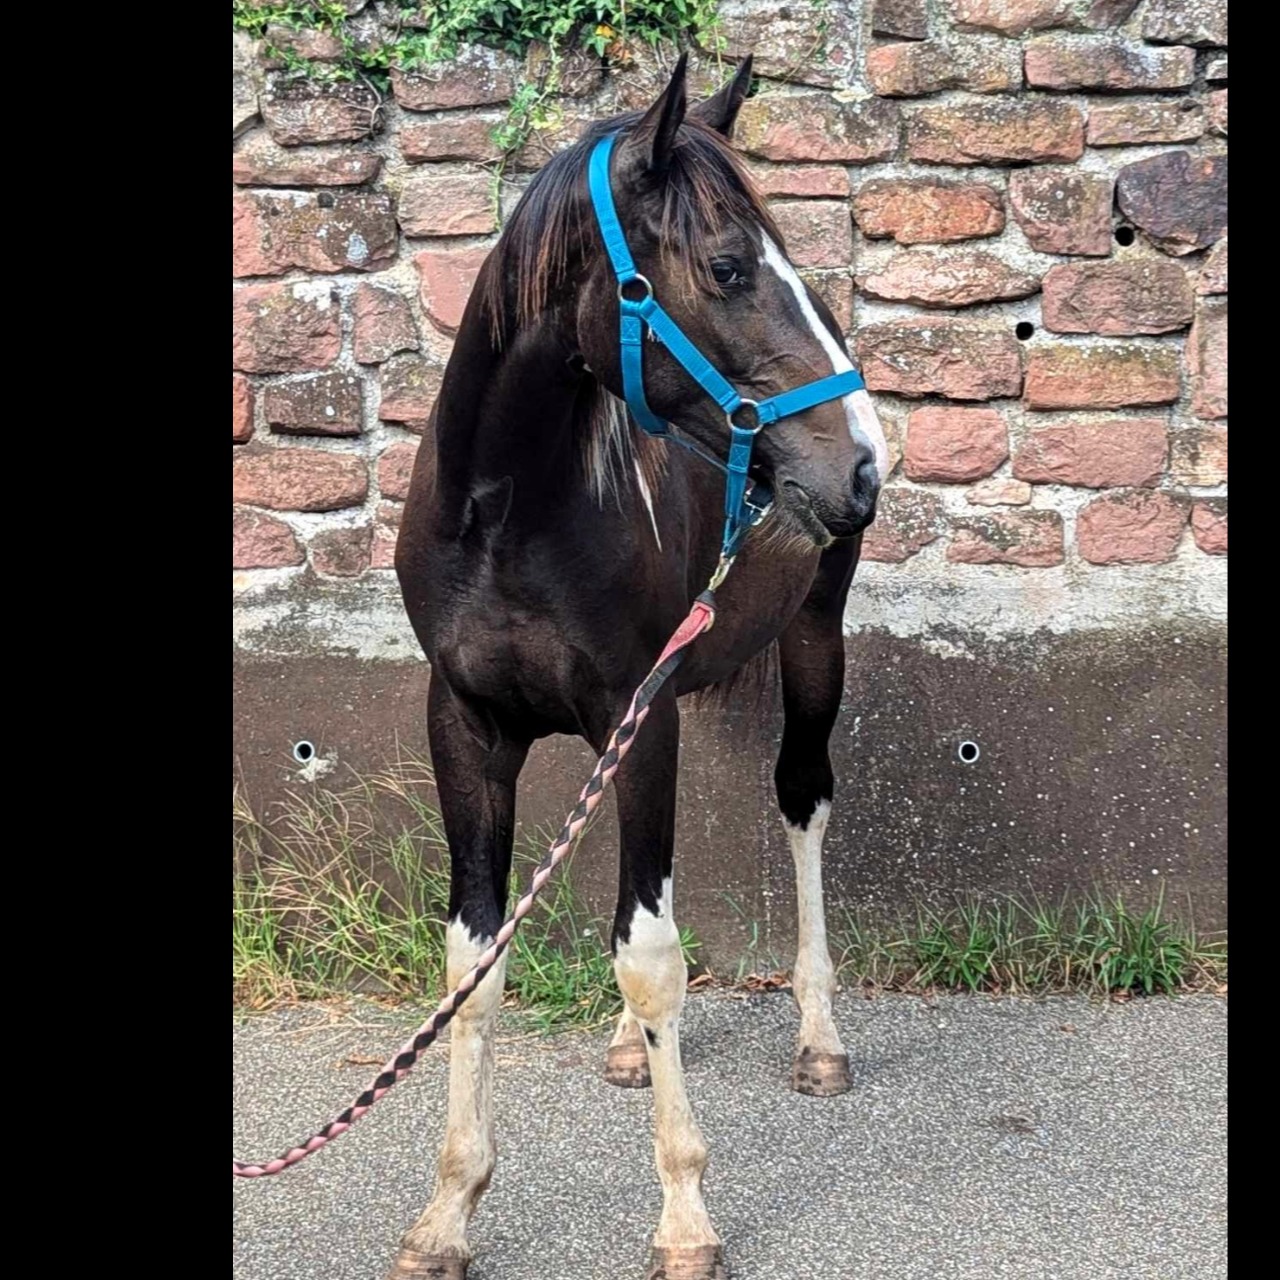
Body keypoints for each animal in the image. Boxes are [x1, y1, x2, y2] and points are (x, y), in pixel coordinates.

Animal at [394, 49, 885, 1280]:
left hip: (813, 642)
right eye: (725, 266)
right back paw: (627, 1046)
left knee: (802, 804)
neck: (508, 511)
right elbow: (475, 961)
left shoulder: (641, 710)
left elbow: (650, 949)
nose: (863, 461)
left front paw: (684, 1214)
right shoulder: (465, 725)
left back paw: (818, 1037)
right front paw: (448, 1209)